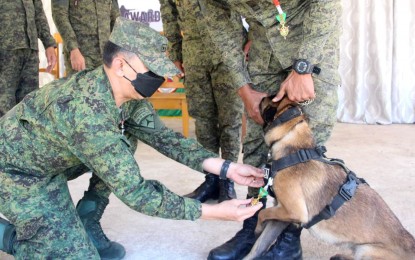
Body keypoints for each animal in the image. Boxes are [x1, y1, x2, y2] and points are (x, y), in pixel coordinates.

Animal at [245, 96, 415, 258]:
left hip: (366, 250)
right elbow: (258, 246)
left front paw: (257, 228)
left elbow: (262, 213)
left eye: (271, 98)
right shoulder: (280, 216)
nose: (260, 98)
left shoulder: (293, 212)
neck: (296, 149)